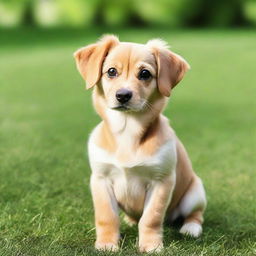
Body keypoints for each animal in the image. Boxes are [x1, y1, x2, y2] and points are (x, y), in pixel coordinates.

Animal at [73, 35, 206, 253]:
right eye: (111, 71)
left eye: (145, 74)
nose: (123, 95)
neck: (127, 130)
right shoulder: (100, 179)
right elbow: (106, 216)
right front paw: (107, 244)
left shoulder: (161, 181)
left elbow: (151, 218)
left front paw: (151, 245)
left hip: (195, 194)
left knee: (195, 214)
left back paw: (191, 228)